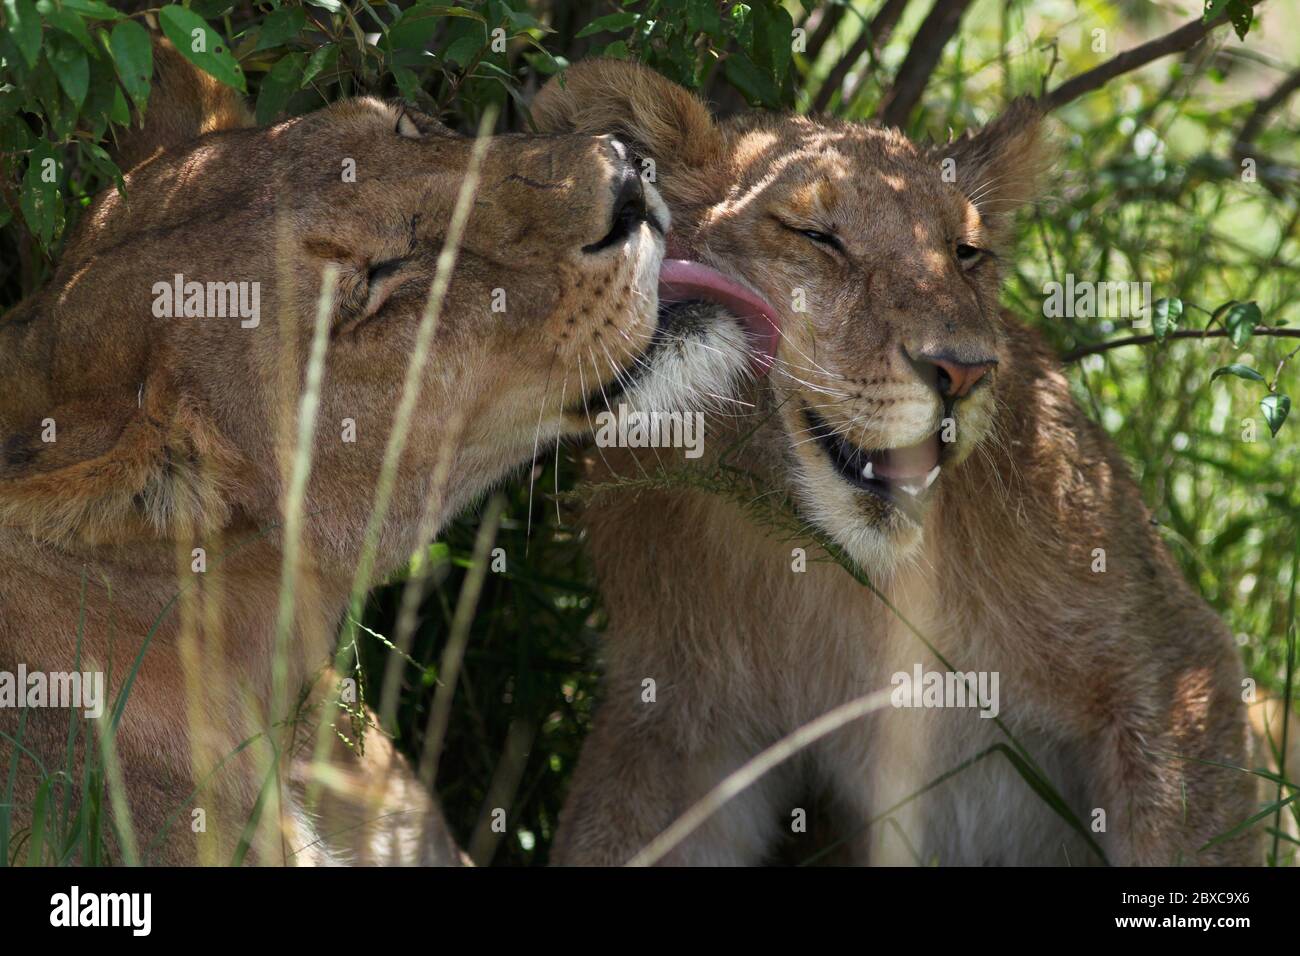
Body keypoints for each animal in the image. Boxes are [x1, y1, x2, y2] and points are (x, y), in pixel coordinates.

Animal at [530, 59, 1268, 868]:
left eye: (967, 252)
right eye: (816, 236)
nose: (963, 373)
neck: (821, 559)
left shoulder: (1171, 667)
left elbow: (1190, 830)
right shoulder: (673, 721)